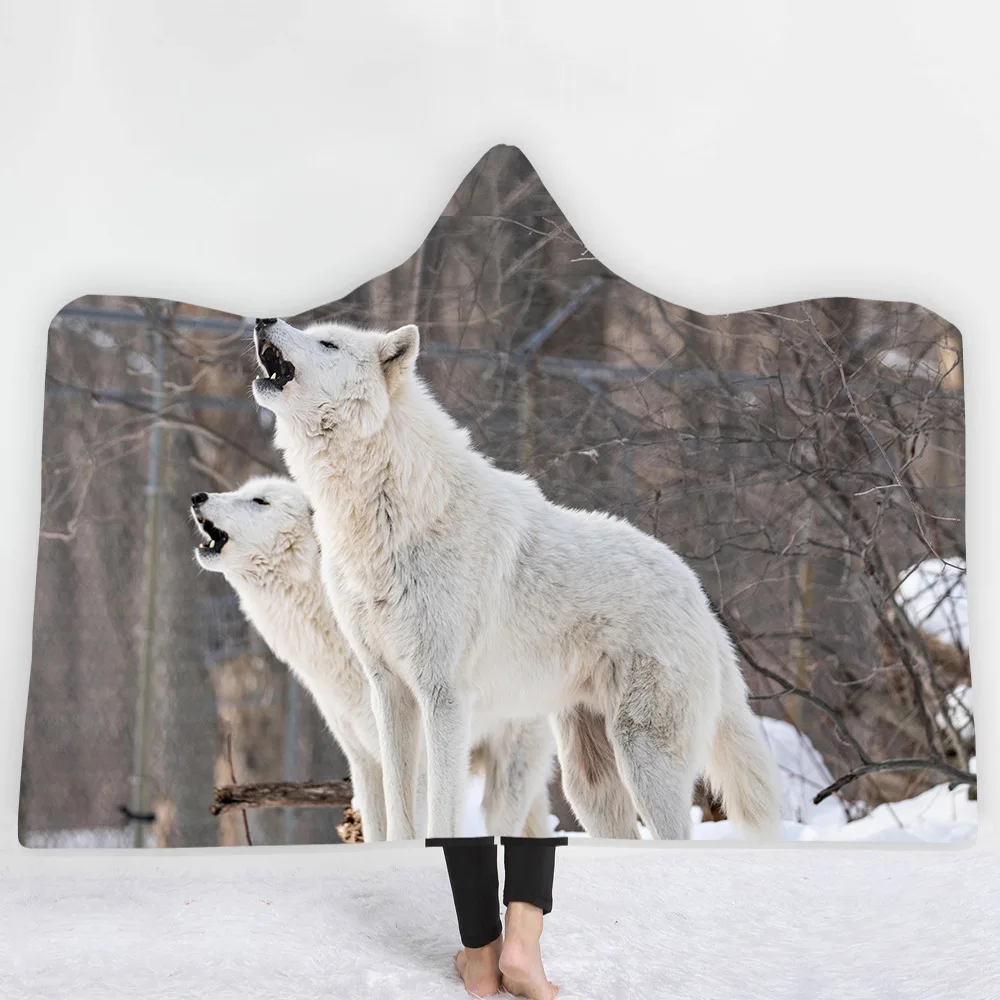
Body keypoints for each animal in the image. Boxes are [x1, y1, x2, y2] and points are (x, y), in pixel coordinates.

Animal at [190, 474, 555, 840]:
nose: (197, 496)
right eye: (240, 492)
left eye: (260, 501)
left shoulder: (417, 759)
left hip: (510, 769)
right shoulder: (362, 758)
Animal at [250, 317, 781, 842]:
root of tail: (699, 597)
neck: (387, 514)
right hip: (586, 782)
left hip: (642, 759)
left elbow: (439, 809)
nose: (262, 319)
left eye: (327, 343)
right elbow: (400, 816)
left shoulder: (444, 695)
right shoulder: (389, 690)